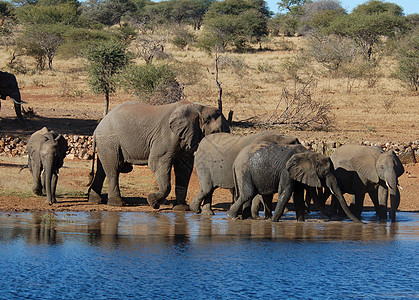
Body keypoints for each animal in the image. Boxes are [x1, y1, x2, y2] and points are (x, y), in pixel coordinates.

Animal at [88, 101, 230, 209]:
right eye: (215, 132)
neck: (199, 107)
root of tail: (98, 126)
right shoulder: (167, 136)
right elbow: (157, 163)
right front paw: (152, 202)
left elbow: (184, 168)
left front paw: (181, 208)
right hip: (109, 140)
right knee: (113, 168)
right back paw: (117, 204)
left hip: (106, 142)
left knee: (102, 169)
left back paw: (95, 200)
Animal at [228, 141, 362, 223]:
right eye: (325, 172)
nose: (362, 223)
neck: (309, 154)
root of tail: (235, 161)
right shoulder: (286, 171)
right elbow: (286, 192)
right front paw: (274, 222)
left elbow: (298, 196)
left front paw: (301, 222)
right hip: (244, 170)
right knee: (248, 194)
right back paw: (232, 216)